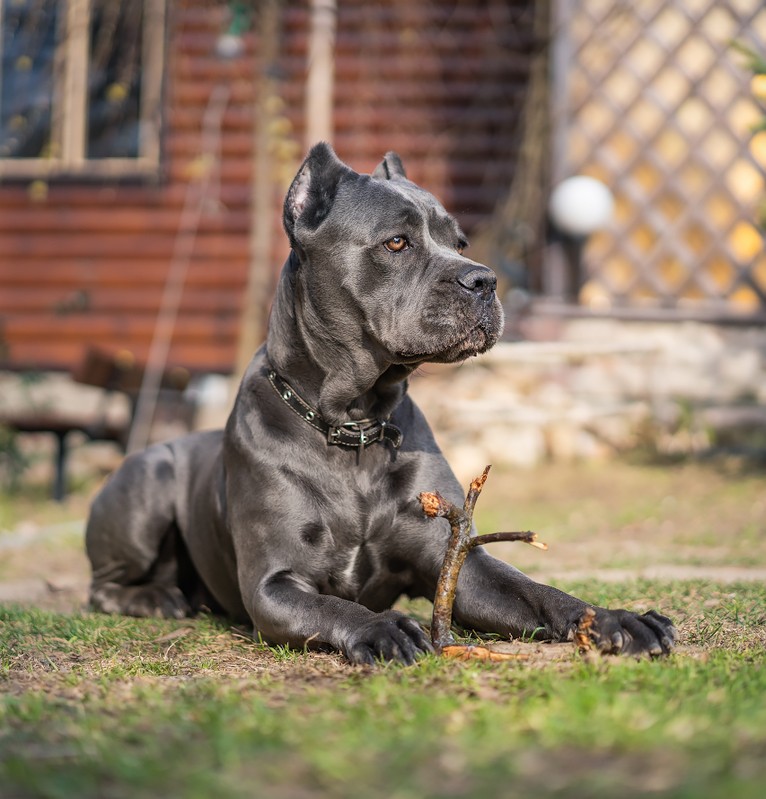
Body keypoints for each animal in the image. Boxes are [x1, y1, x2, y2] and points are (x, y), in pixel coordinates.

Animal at [87, 142, 680, 664]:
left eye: (460, 242)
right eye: (397, 243)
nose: (485, 281)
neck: (353, 423)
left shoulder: (459, 564)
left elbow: (538, 591)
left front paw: (617, 618)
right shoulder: (273, 583)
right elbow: (334, 607)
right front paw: (383, 628)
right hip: (148, 479)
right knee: (101, 587)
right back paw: (157, 598)